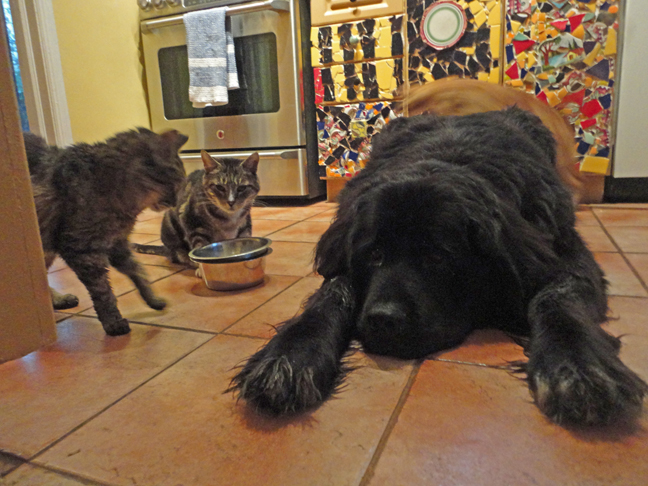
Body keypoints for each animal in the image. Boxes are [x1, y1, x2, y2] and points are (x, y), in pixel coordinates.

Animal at [25, 128, 189, 336]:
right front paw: (113, 322)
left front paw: (152, 299)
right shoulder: (82, 251)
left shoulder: (117, 244)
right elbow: (103, 292)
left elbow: (138, 272)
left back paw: (58, 300)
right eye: (176, 184)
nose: (176, 203)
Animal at [229, 108, 647, 426]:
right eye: (373, 255)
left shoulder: (569, 257)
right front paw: (290, 354)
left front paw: (577, 363)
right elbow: (331, 293)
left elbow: (557, 299)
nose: (383, 319)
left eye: (437, 258)